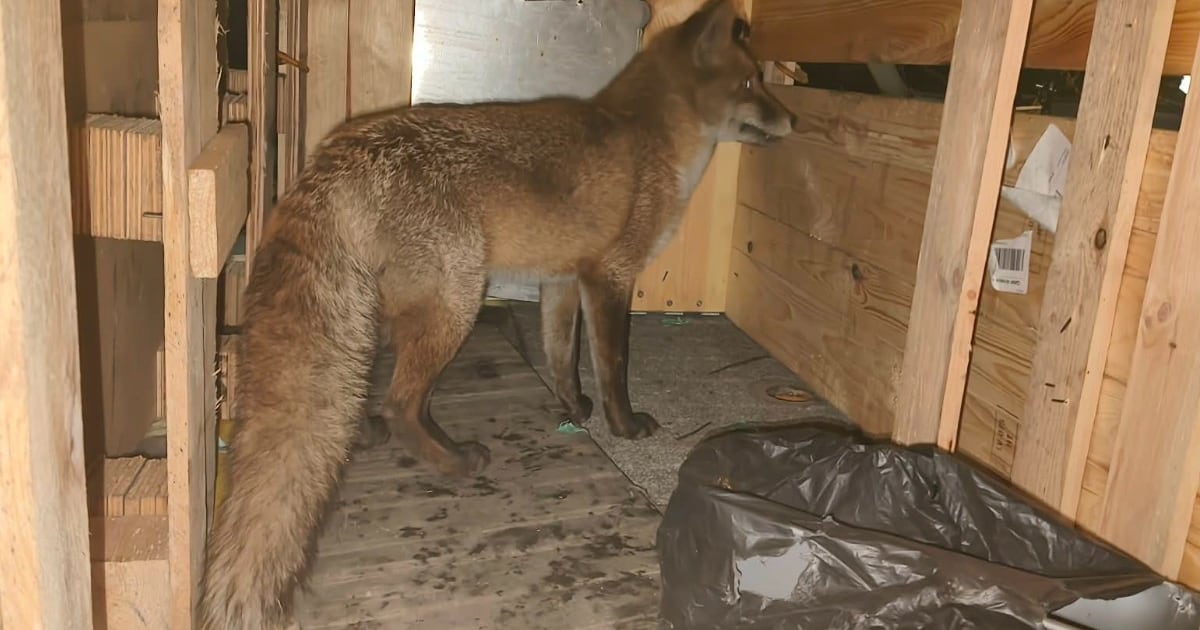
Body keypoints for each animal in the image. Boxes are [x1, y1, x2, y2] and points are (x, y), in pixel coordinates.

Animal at [196, 0, 795, 627]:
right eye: (751, 84)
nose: (795, 120)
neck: (652, 138)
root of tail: (335, 154)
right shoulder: (611, 277)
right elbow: (614, 367)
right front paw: (624, 426)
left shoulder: (562, 281)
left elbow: (561, 357)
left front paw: (572, 408)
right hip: (457, 300)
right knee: (401, 403)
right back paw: (455, 461)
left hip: (390, 313)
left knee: (373, 392)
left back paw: (372, 433)